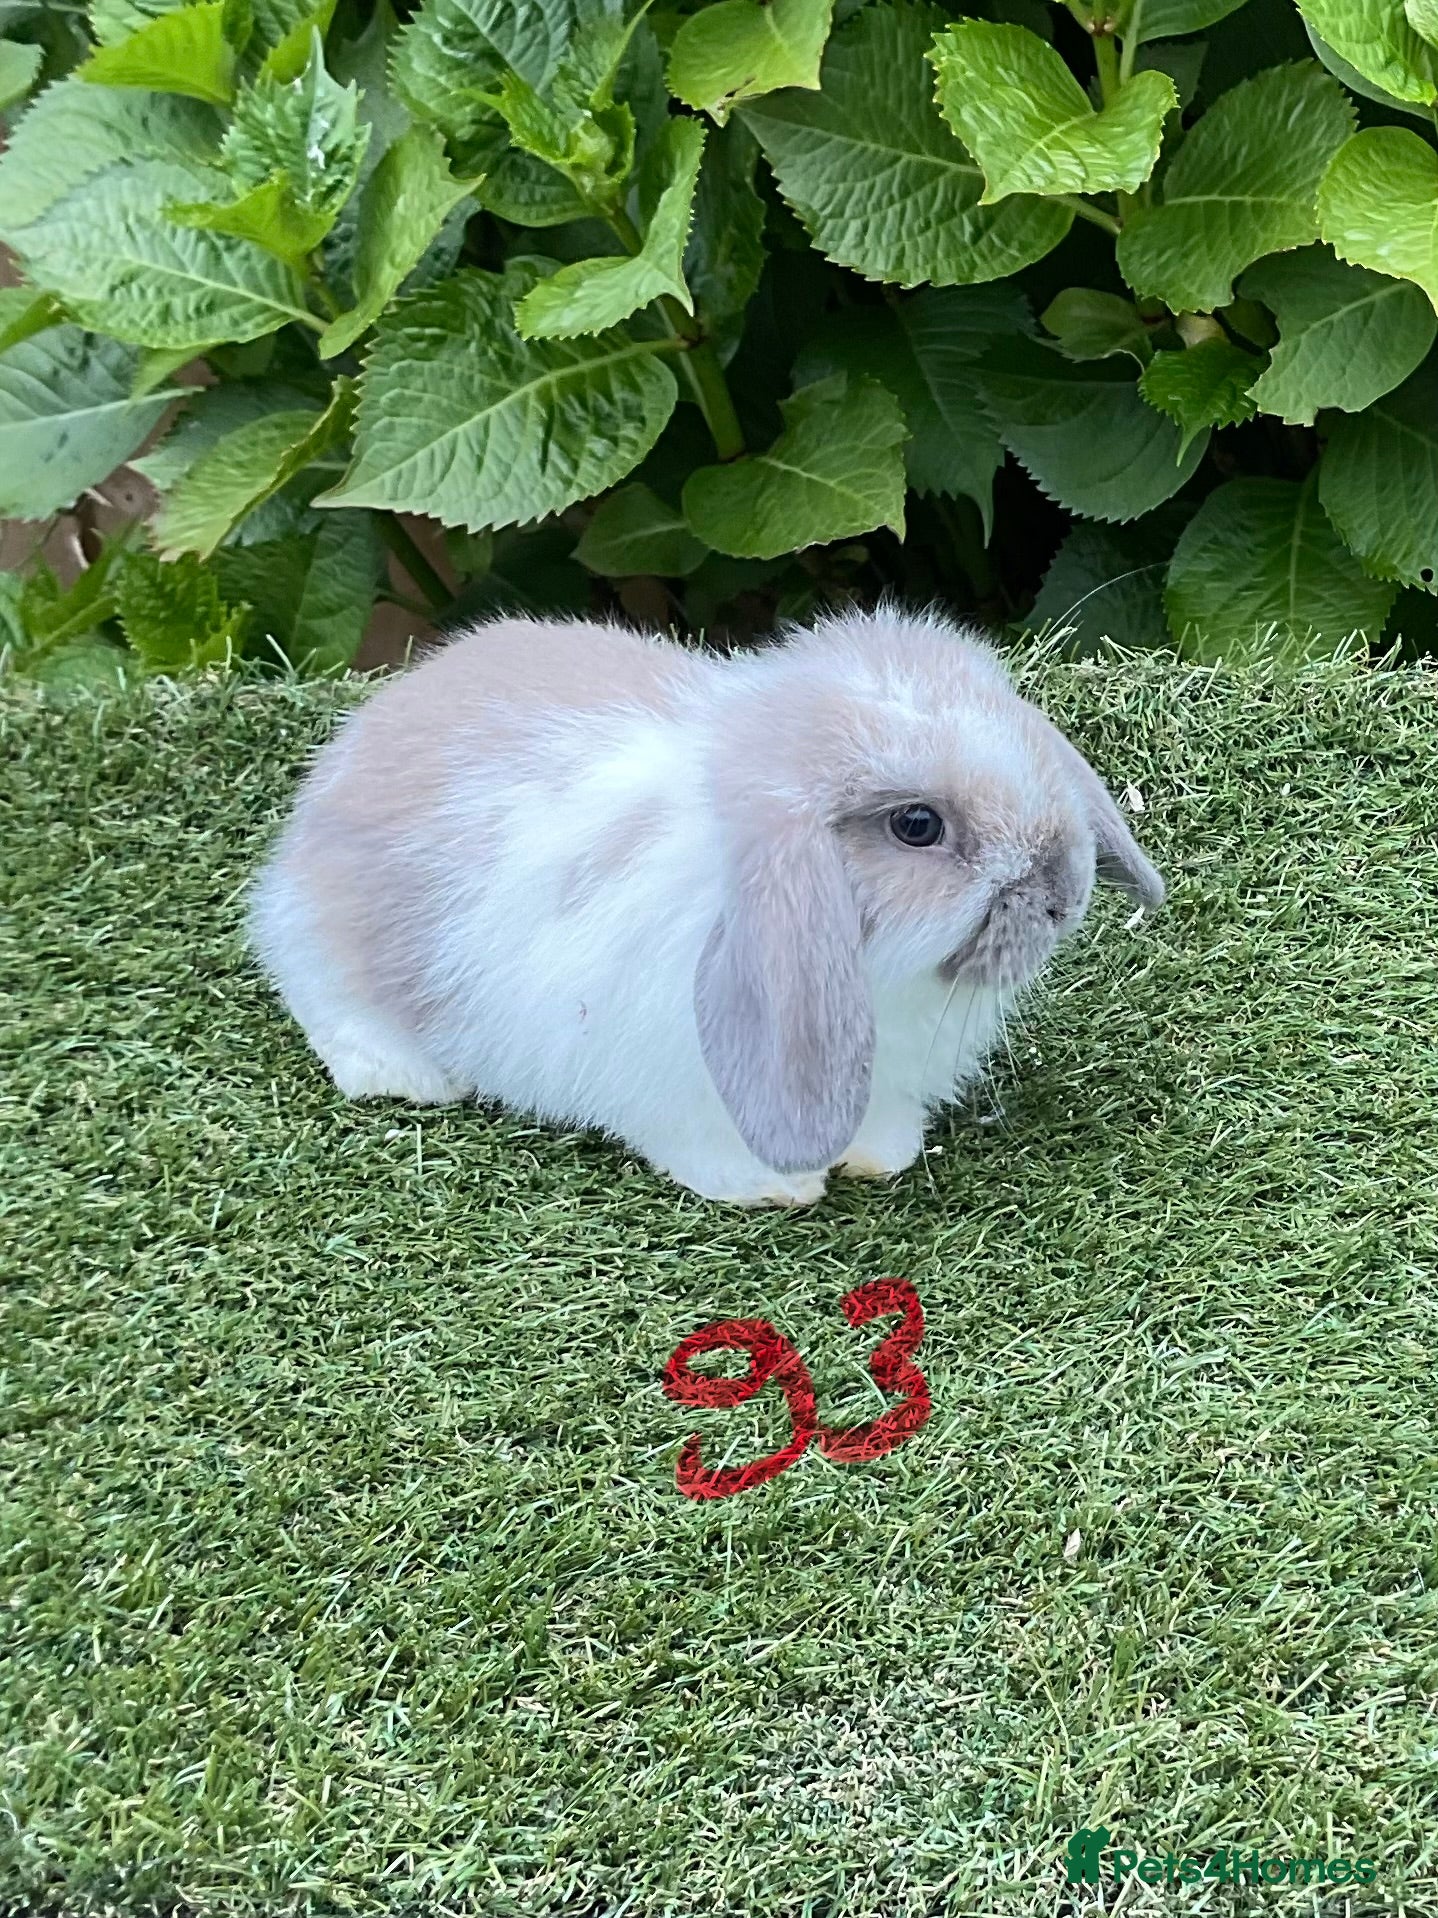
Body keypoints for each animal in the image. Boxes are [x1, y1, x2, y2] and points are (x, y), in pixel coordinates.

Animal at [247, 604, 1164, 1206]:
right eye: (917, 825)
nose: (1062, 895)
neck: (877, 977)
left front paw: (880, 1156)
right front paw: (779, 1188)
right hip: (330, 949)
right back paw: (404, 1075)